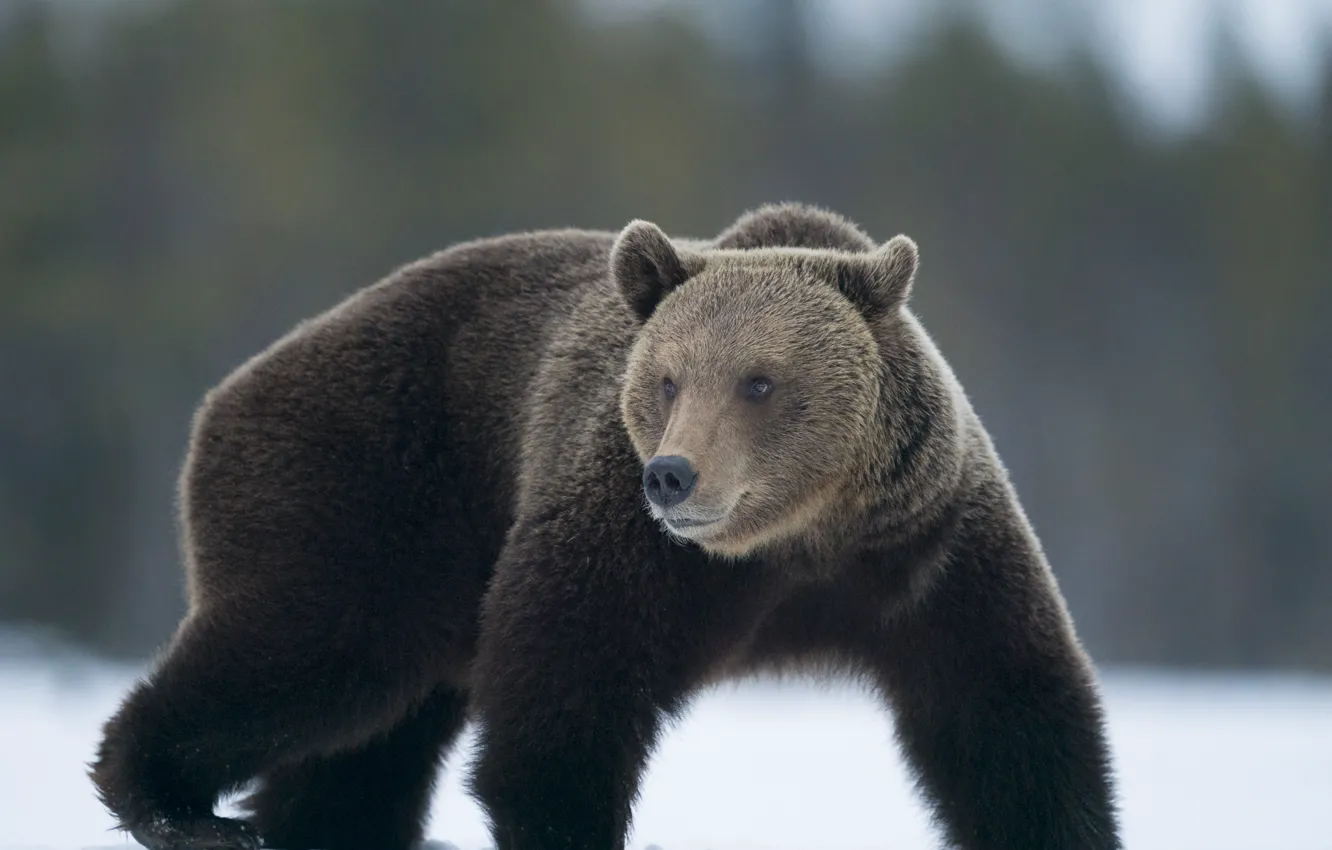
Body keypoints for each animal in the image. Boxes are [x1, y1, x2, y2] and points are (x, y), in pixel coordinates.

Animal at [89, 202, 1121, 850]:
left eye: (760, 380)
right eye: (665, 378)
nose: (673, 475)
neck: (793, 545)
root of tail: (228, 391)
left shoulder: (926, 547)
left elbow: (1008, 720)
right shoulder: (625, 544)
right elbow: (561, 712)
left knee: (372, 738)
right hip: (367, 485)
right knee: (316, 646)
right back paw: (175, 807)